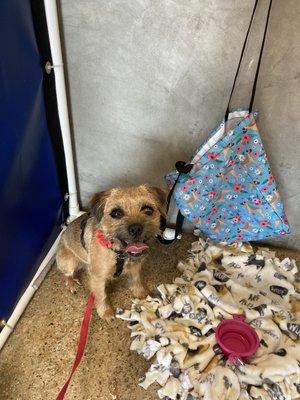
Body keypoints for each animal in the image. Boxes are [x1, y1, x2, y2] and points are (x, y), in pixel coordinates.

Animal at [56, 184, 166, 318]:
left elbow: (136, 280)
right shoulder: (97, 277)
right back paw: (71, 282)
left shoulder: (135, 267)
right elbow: (101, 295)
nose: (136, 228)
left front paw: (141, 293)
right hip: (69, 263)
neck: (119, 254)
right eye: (116, 213)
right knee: (66, 274)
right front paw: (105, 312)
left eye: (148, 209)